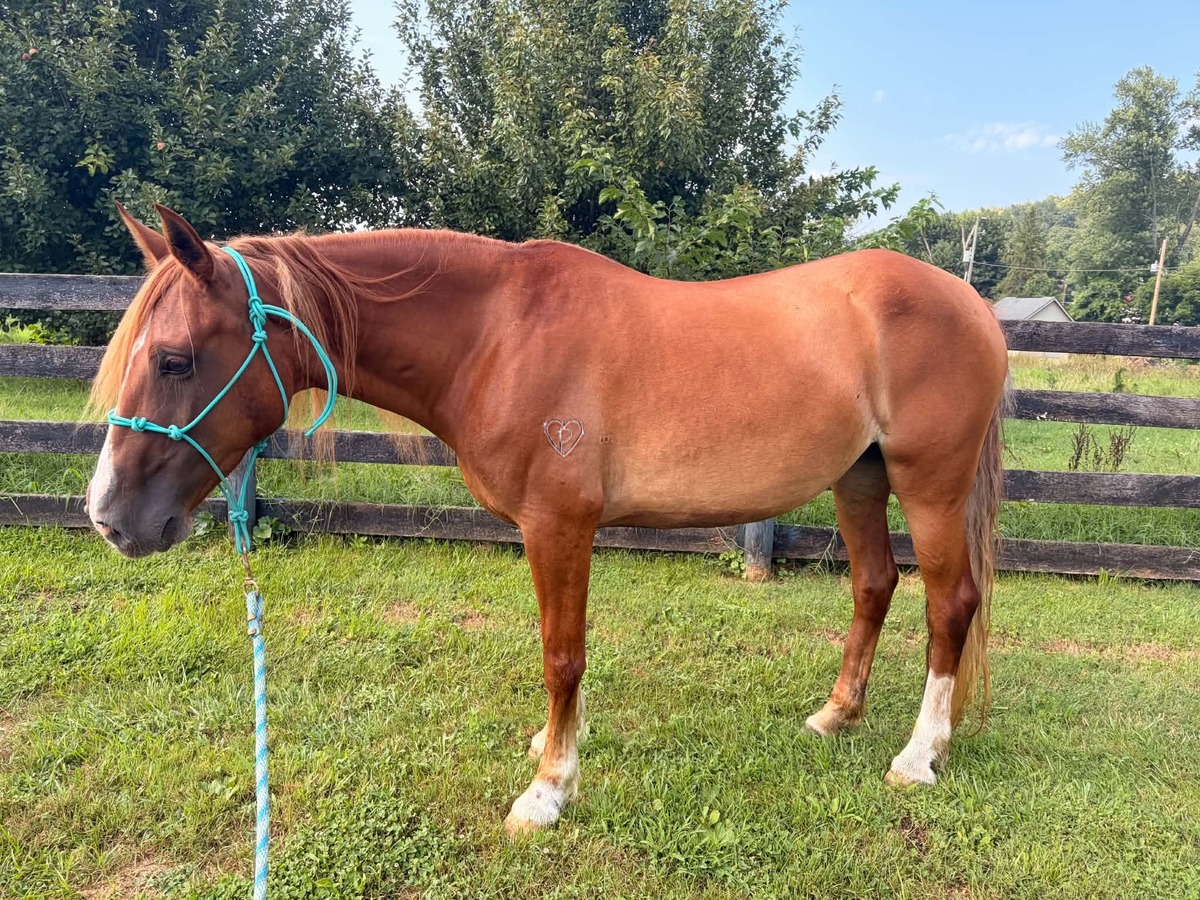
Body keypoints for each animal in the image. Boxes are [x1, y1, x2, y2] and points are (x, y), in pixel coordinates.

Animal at [87, 204, 1010, 834]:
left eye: (174, 360)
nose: (108, 517)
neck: (497, 335)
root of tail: (971, 304)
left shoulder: (558, 525)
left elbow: (561, 655)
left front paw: (548, 791)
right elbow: (559, 652)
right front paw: (553, 747)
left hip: (929, 485)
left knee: (949, 605)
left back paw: (919, 755)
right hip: (860, 480)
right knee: (873, 585)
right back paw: (836, 715)